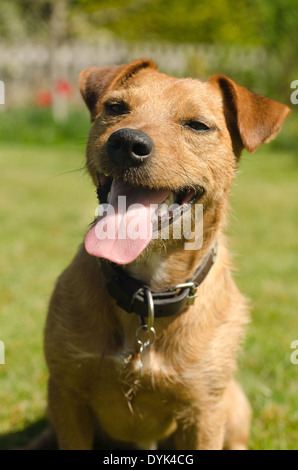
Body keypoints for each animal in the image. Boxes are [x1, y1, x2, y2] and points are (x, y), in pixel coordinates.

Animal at [43, 59, 290, 452]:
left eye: (198, 125)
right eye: (115, 107)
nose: (127, 142)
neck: (148, 292)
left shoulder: (203, 413)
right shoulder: (67, 395)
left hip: (233, 406)